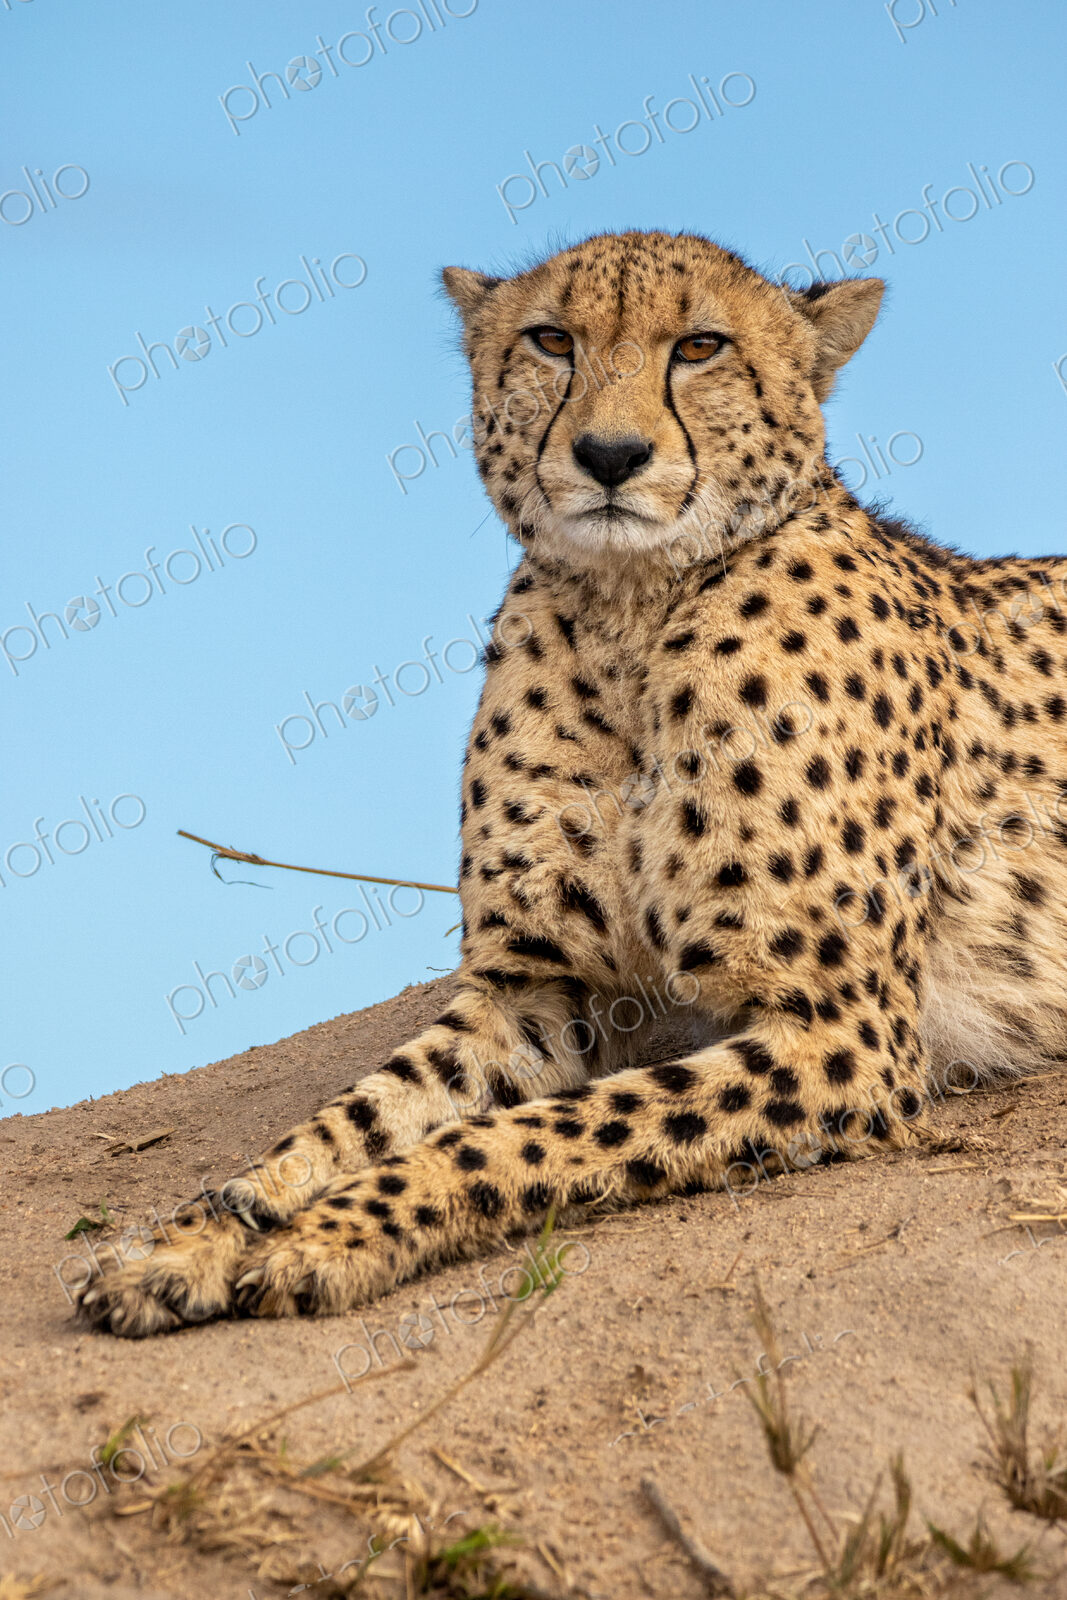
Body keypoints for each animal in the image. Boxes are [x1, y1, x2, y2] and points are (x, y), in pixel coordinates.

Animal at [76, 228, 1067, 1338]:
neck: (630, 615)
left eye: (700, 346)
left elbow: (526, 1134)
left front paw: (335, 1233)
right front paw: (192, 1235)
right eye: (552, 341)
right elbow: (350, 1117)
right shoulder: (535, 989)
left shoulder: (837, 1029)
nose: (608, 456)